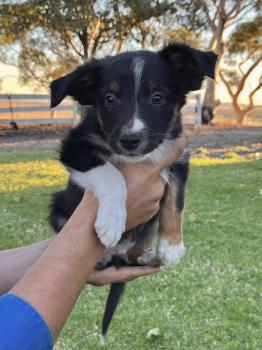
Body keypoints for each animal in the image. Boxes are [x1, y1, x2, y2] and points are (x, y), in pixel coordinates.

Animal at [49, 43, 217, 336]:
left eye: (158, 98)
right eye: (109, 99)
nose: (130, 140)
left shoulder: (178, 157)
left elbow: (176, 201)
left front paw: (172, 245)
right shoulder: (74, 148)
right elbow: (112, 174)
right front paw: (111, 223)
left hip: (146, 227)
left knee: (134, 252)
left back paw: (150, 257)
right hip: (58, 205)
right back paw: (104, 255)